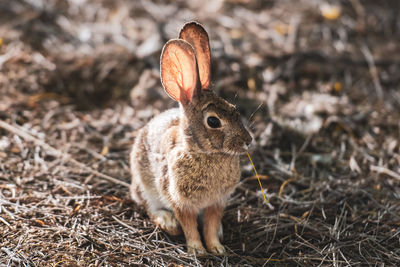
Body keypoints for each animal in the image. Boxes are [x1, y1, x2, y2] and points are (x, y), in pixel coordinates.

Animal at [130, 22, 252, 256]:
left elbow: (211, 225)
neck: (204, 153)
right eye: (213, 121)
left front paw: (217, 248)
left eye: (234, 109)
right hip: (145, 185)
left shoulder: (217, 202)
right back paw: (167, 221)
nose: (248, 141)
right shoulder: (180, 201)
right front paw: (198, 250)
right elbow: (189, 227)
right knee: (149, 206)